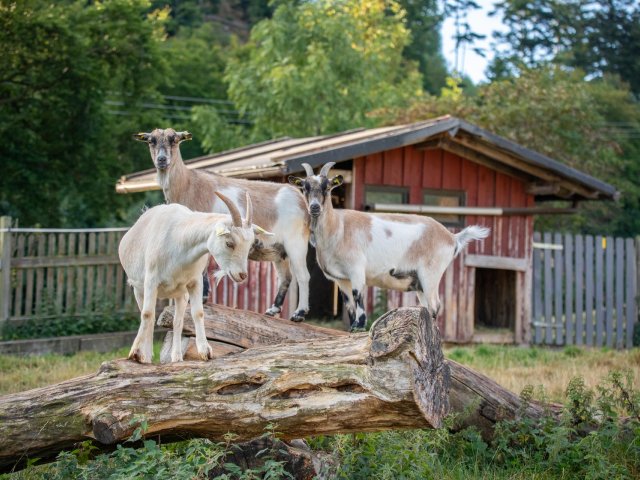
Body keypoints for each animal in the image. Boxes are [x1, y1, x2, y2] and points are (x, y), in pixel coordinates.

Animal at [118, 191, 272, 363]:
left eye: (250, 244)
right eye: (229, 243)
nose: (242, 275)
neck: (179, 239)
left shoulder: (195, 282)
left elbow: (198, 312)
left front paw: (205, 351)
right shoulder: (151, 281)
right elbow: (147, 314)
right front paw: (138, 353)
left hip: (180, 294)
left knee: (177, 321)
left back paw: (177, 357)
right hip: (139, 289)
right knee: (146, 316)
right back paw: (145, 353)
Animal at [133, 129, 311, 322]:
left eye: (174, 140)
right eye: (151, 141)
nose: (162, 159)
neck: (188, 184)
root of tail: (301, 200)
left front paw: (202, 297)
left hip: (296, 242)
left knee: (303, 275)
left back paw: (299, 314)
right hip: (278, 250)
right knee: (285, 277)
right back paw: (273, 309)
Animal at [289, 162, 490, 331]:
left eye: (328, 187)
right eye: (304, 187)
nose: (315, 207)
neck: (338, 227)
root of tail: (452, 237)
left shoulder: (356, 269)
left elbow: (358, 295)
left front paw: (359, 325)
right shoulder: (340, 279)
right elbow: (349, 304)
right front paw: (353, 326)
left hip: (431, 274)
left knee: (435, 306)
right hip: (420, 283)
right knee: (427, 307)